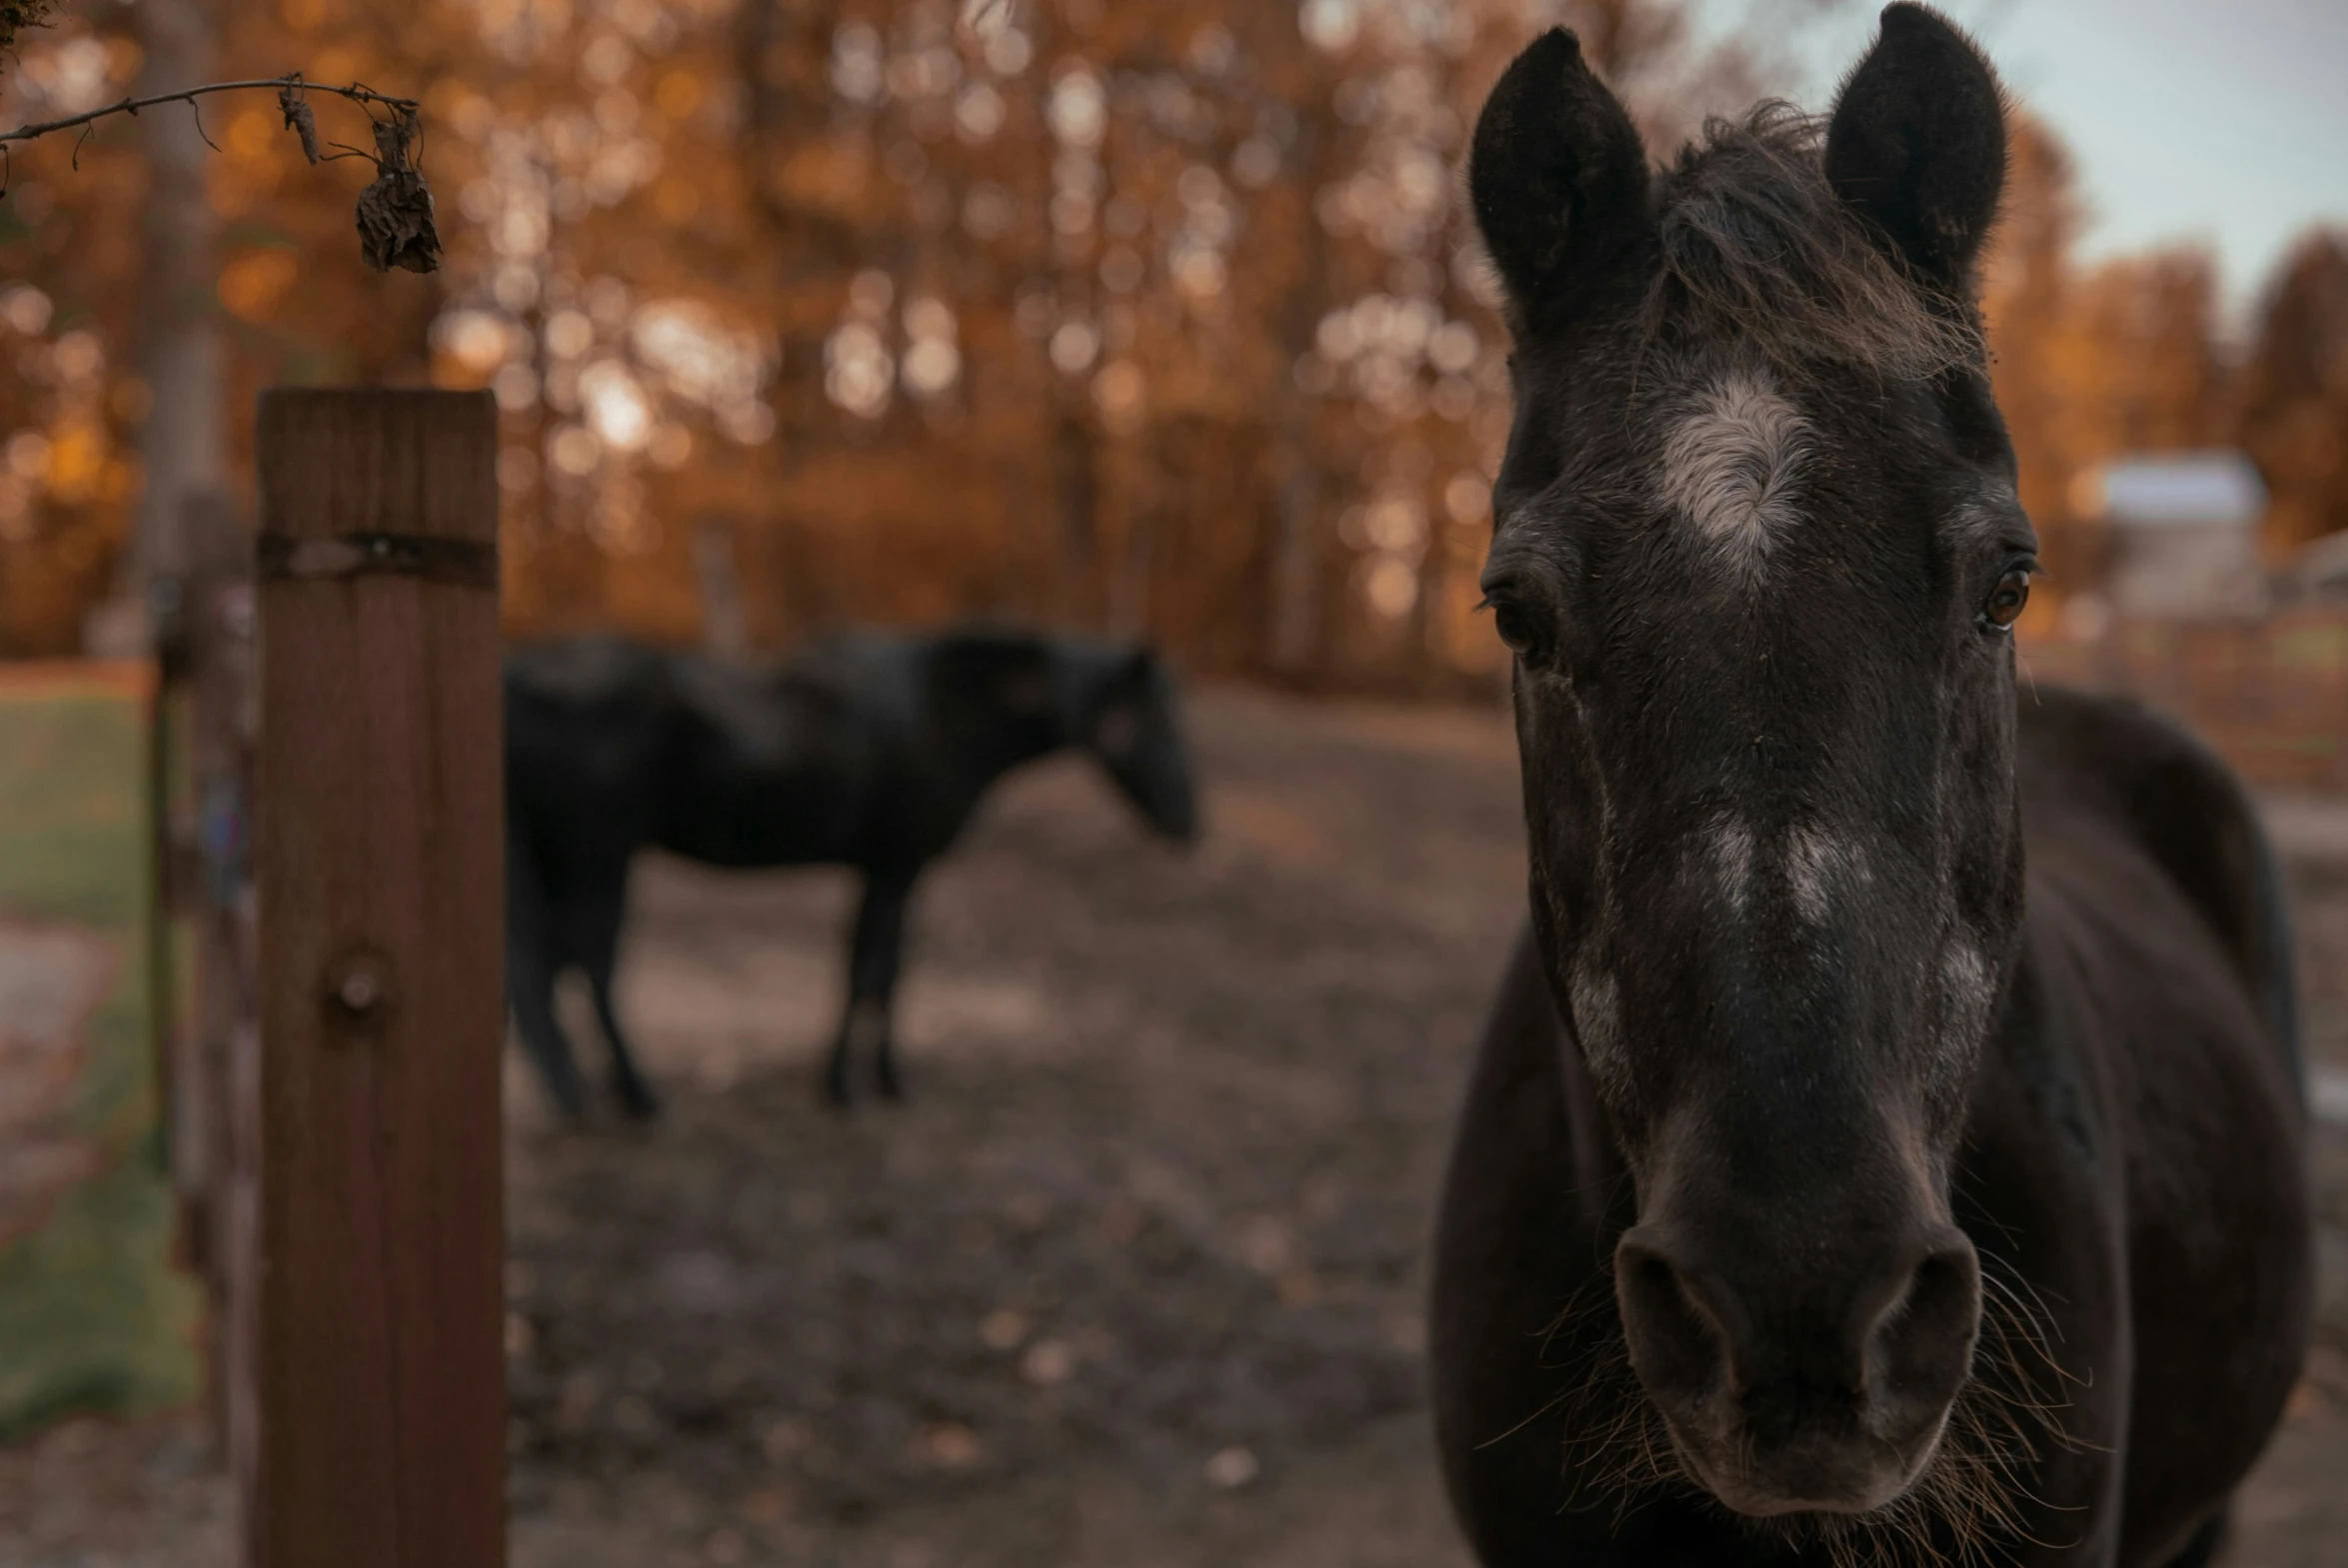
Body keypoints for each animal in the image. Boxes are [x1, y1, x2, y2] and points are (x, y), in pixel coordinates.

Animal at [495, 620, 1192, 1112]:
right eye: (1156, 722)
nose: (1191, 825)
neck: (944, 714)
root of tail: (519, 675)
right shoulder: (893, 868)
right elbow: (867, 972)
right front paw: (847, 1085)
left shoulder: (896, 873)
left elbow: (887, 971)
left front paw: (881, 1079)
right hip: (600, 857)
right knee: (588, 961)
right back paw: (634, 1097)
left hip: (560, 859)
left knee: (545, 964)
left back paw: (573, 1086)